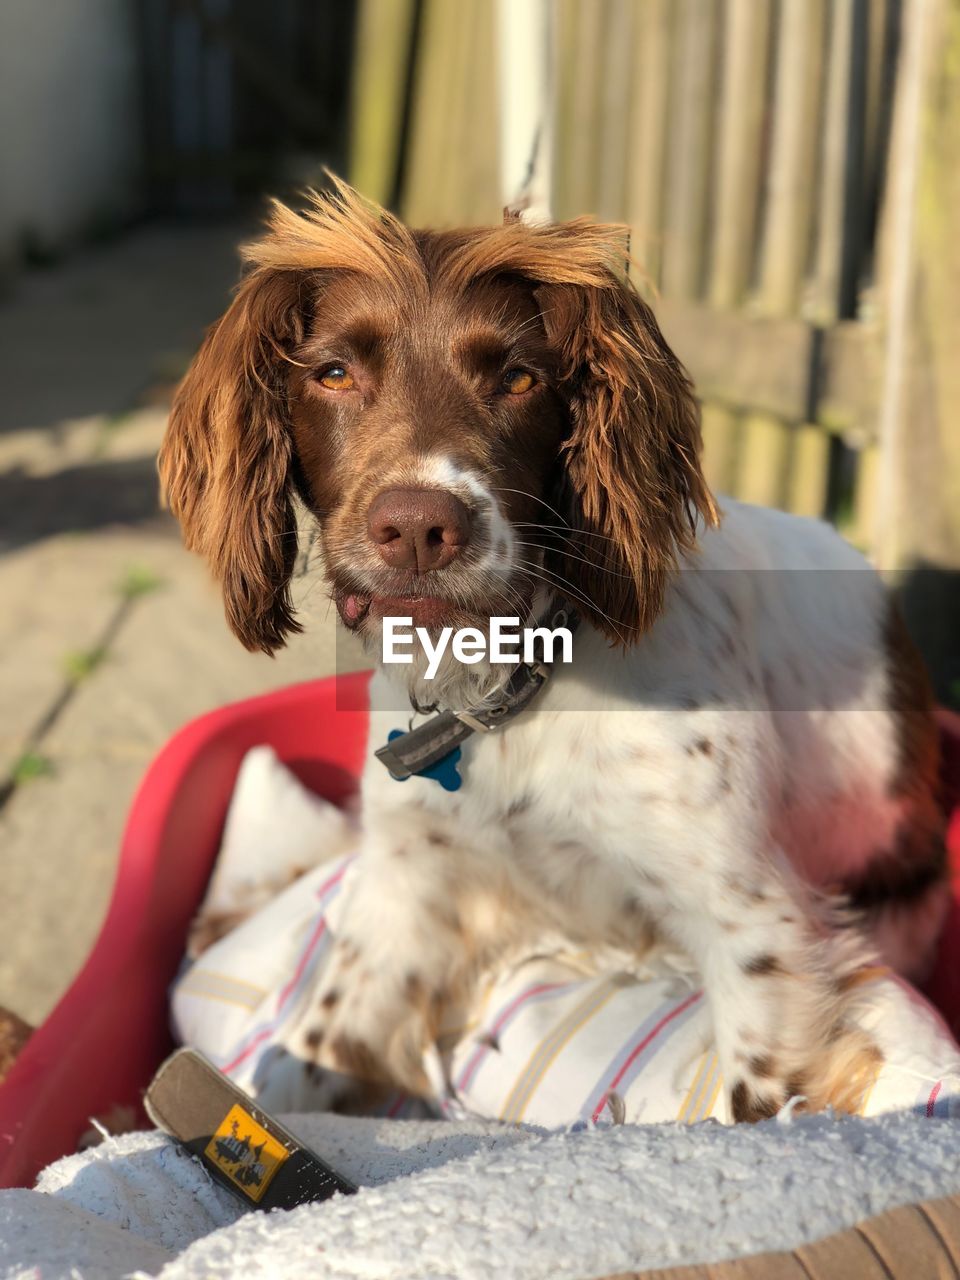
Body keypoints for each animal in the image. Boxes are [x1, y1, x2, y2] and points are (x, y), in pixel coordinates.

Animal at [160, 180, 947, 1121]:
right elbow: (295, 1068)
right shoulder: (410, 885)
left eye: (519, 377)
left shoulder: (755, 927)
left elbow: (756, 1101)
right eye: (335, 373)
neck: (506, 688)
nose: (419, 526)